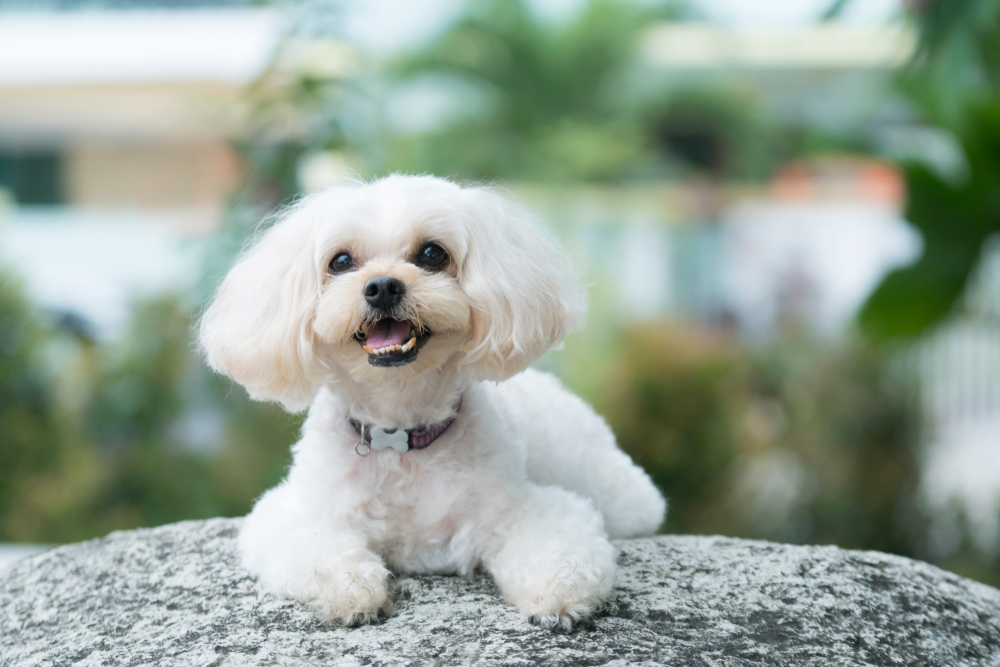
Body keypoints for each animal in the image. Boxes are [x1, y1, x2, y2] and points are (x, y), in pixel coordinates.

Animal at [197, 174, 664, 632]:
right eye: (341, 261)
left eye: (432, 254)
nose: (383, 286)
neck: (400, 437)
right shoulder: (296, 512)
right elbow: (321, 549)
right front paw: (352, 590)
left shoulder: (523, 506)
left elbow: (558, 545)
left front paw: (558, 595)